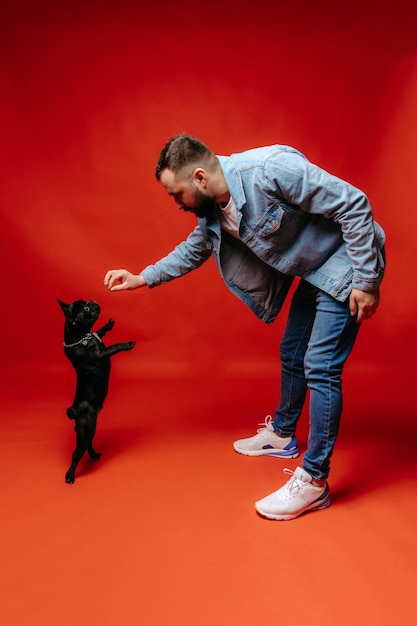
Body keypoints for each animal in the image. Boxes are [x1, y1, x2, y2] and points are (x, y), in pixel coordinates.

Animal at [57, 298, 134, 482]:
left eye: (85, 302)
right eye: (85, 309)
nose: (92, 301)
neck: (82, 336)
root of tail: (75, 412)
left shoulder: (96, 337)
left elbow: (99, 331)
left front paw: (108, 325)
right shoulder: (101, 354)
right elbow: (114, 346)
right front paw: (127, 344)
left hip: (89, 430)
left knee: (87, 445)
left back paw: (93, 455)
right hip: (86, 429)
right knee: (76, 453)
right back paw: (70, 475)